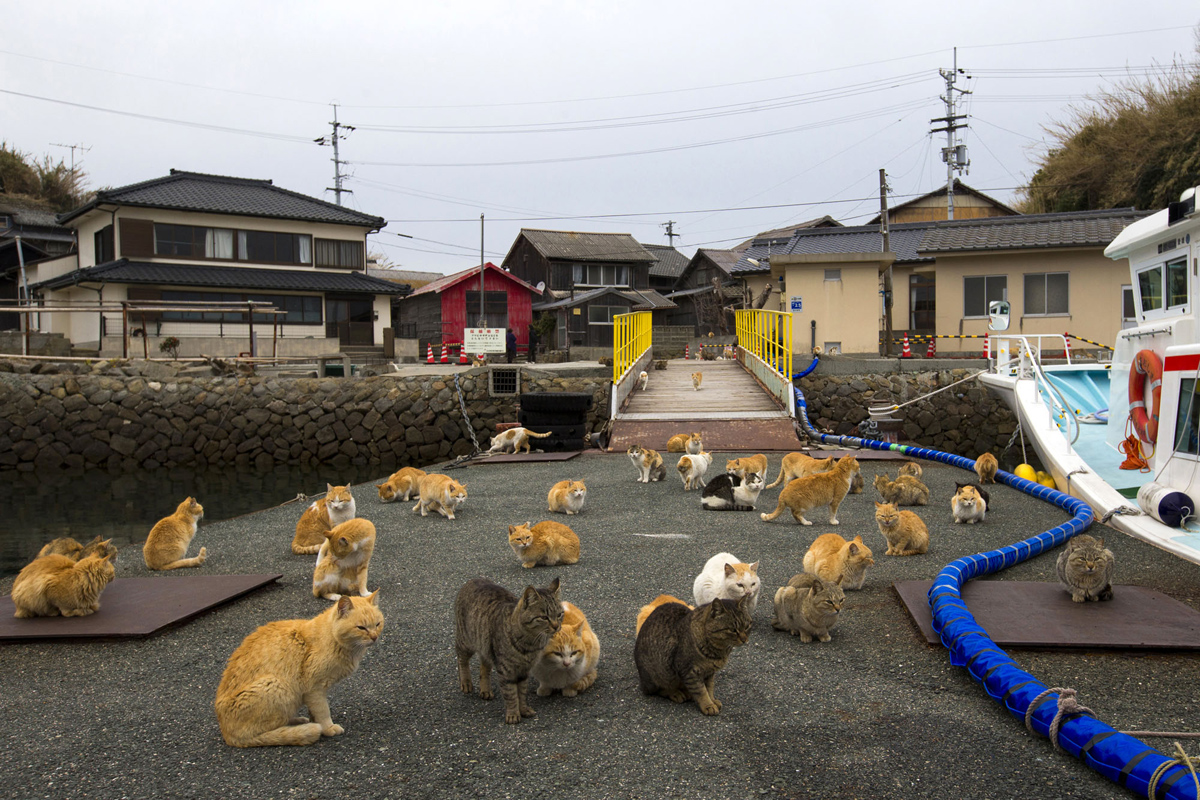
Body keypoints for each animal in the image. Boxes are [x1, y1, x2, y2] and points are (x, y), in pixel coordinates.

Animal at [213, 592, 384, 748]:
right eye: (361, 628)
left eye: (377, 624)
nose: (374, 637)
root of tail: (227, 735)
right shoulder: (314, 689)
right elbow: (323, 711)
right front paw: (328, 728)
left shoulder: (312, 694)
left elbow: (314, 711)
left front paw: (315, 720)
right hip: (277, 686)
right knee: (257, 734)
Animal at [451, 578, 564, 724]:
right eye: (544, 617)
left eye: (559, 614)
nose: (556, 626)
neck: (530, 643)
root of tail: (473, 579)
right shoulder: (506, 671)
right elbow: (511, 694)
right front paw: (513, 714)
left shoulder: (524, 671)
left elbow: (522, 693)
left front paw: (524, 709)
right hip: (466, 642)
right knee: (461, 659)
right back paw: (465, 682)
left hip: (486, 647)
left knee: (484, 666)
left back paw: (485, 690)